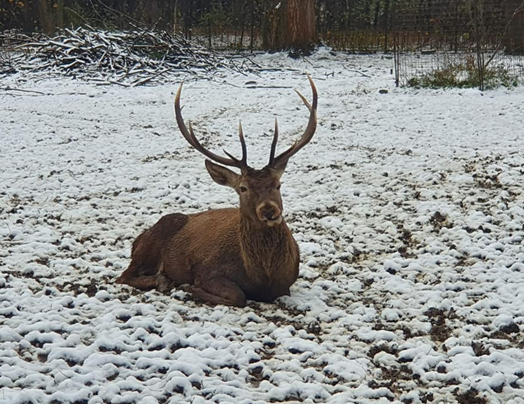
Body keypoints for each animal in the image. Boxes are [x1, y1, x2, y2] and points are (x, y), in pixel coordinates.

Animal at [116, 76, 318, 306]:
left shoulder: (285, 286)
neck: (263, 277)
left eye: (278, 184)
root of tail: (137, 240)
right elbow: (238, 296)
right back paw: (164, 281)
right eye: (243, 188)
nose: (269, 211)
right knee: (123, 276)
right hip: (149, 246)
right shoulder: (206, 270)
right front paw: (188, 287)